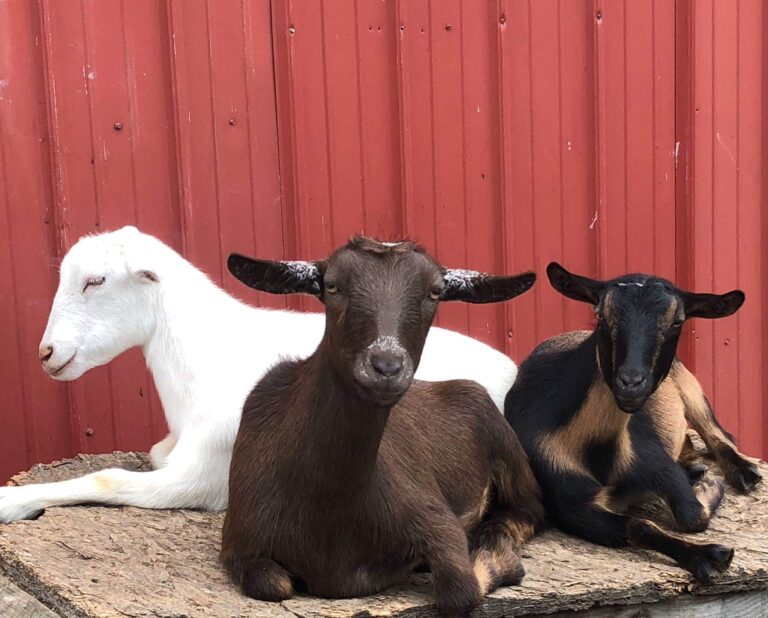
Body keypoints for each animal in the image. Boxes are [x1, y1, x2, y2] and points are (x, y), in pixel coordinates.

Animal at [221, 237, 544, 616]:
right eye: (332, 285)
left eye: (435, 291)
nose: (386, 366)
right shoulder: (238, 542)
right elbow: (273, 585)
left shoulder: (435, 519)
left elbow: (460, 590)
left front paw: (501, 560)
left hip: (502, 439)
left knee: (530, 508)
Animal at [504, 262, 762, 583]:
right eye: (601, 313)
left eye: (677, 321)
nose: (631, 383)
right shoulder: (567, 502)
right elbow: (636, 526)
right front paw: (707, 555)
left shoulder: (655, 460)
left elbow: (692, 515)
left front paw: (709, 491)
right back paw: (695, 467)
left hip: (686, 379)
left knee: (717, 432)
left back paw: (744, 472)